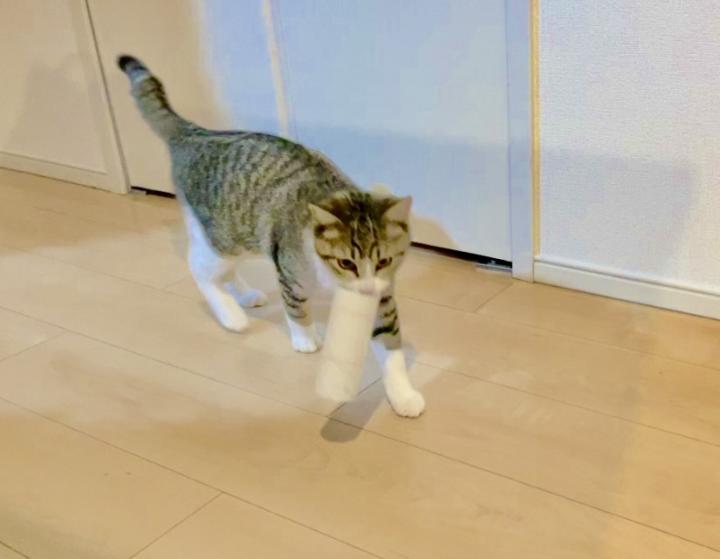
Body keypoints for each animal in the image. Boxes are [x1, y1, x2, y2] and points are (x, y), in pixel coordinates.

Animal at [117, 55, 424, 417]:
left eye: (385, 260)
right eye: (346, 263)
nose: (365, 288)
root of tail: (196, 134)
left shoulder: (383, 295)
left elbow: (391, 347)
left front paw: (403, 395)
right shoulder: (290, 269)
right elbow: (296, 307)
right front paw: (305, 339)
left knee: (219, 269)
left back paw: (246, 296)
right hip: (225, 237)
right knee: (199, 268)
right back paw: (232, 315)